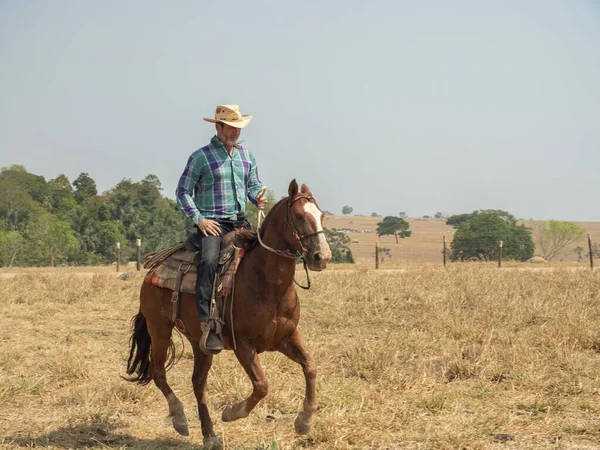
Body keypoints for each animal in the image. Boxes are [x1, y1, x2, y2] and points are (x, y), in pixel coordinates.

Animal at [122, 179, 332, 446]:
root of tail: (154, 266)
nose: (322, 257)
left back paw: (209, 434)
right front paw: (232, 412)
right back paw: (179, 418)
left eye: (321, 215)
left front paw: (304, 421)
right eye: (298, 216)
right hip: (159, 329)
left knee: (198, 382)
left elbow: (310, 367)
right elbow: (262, 385)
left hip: (199, 342)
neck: (267, 283)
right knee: (158, 372)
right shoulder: (243, 345)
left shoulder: (286, 338)